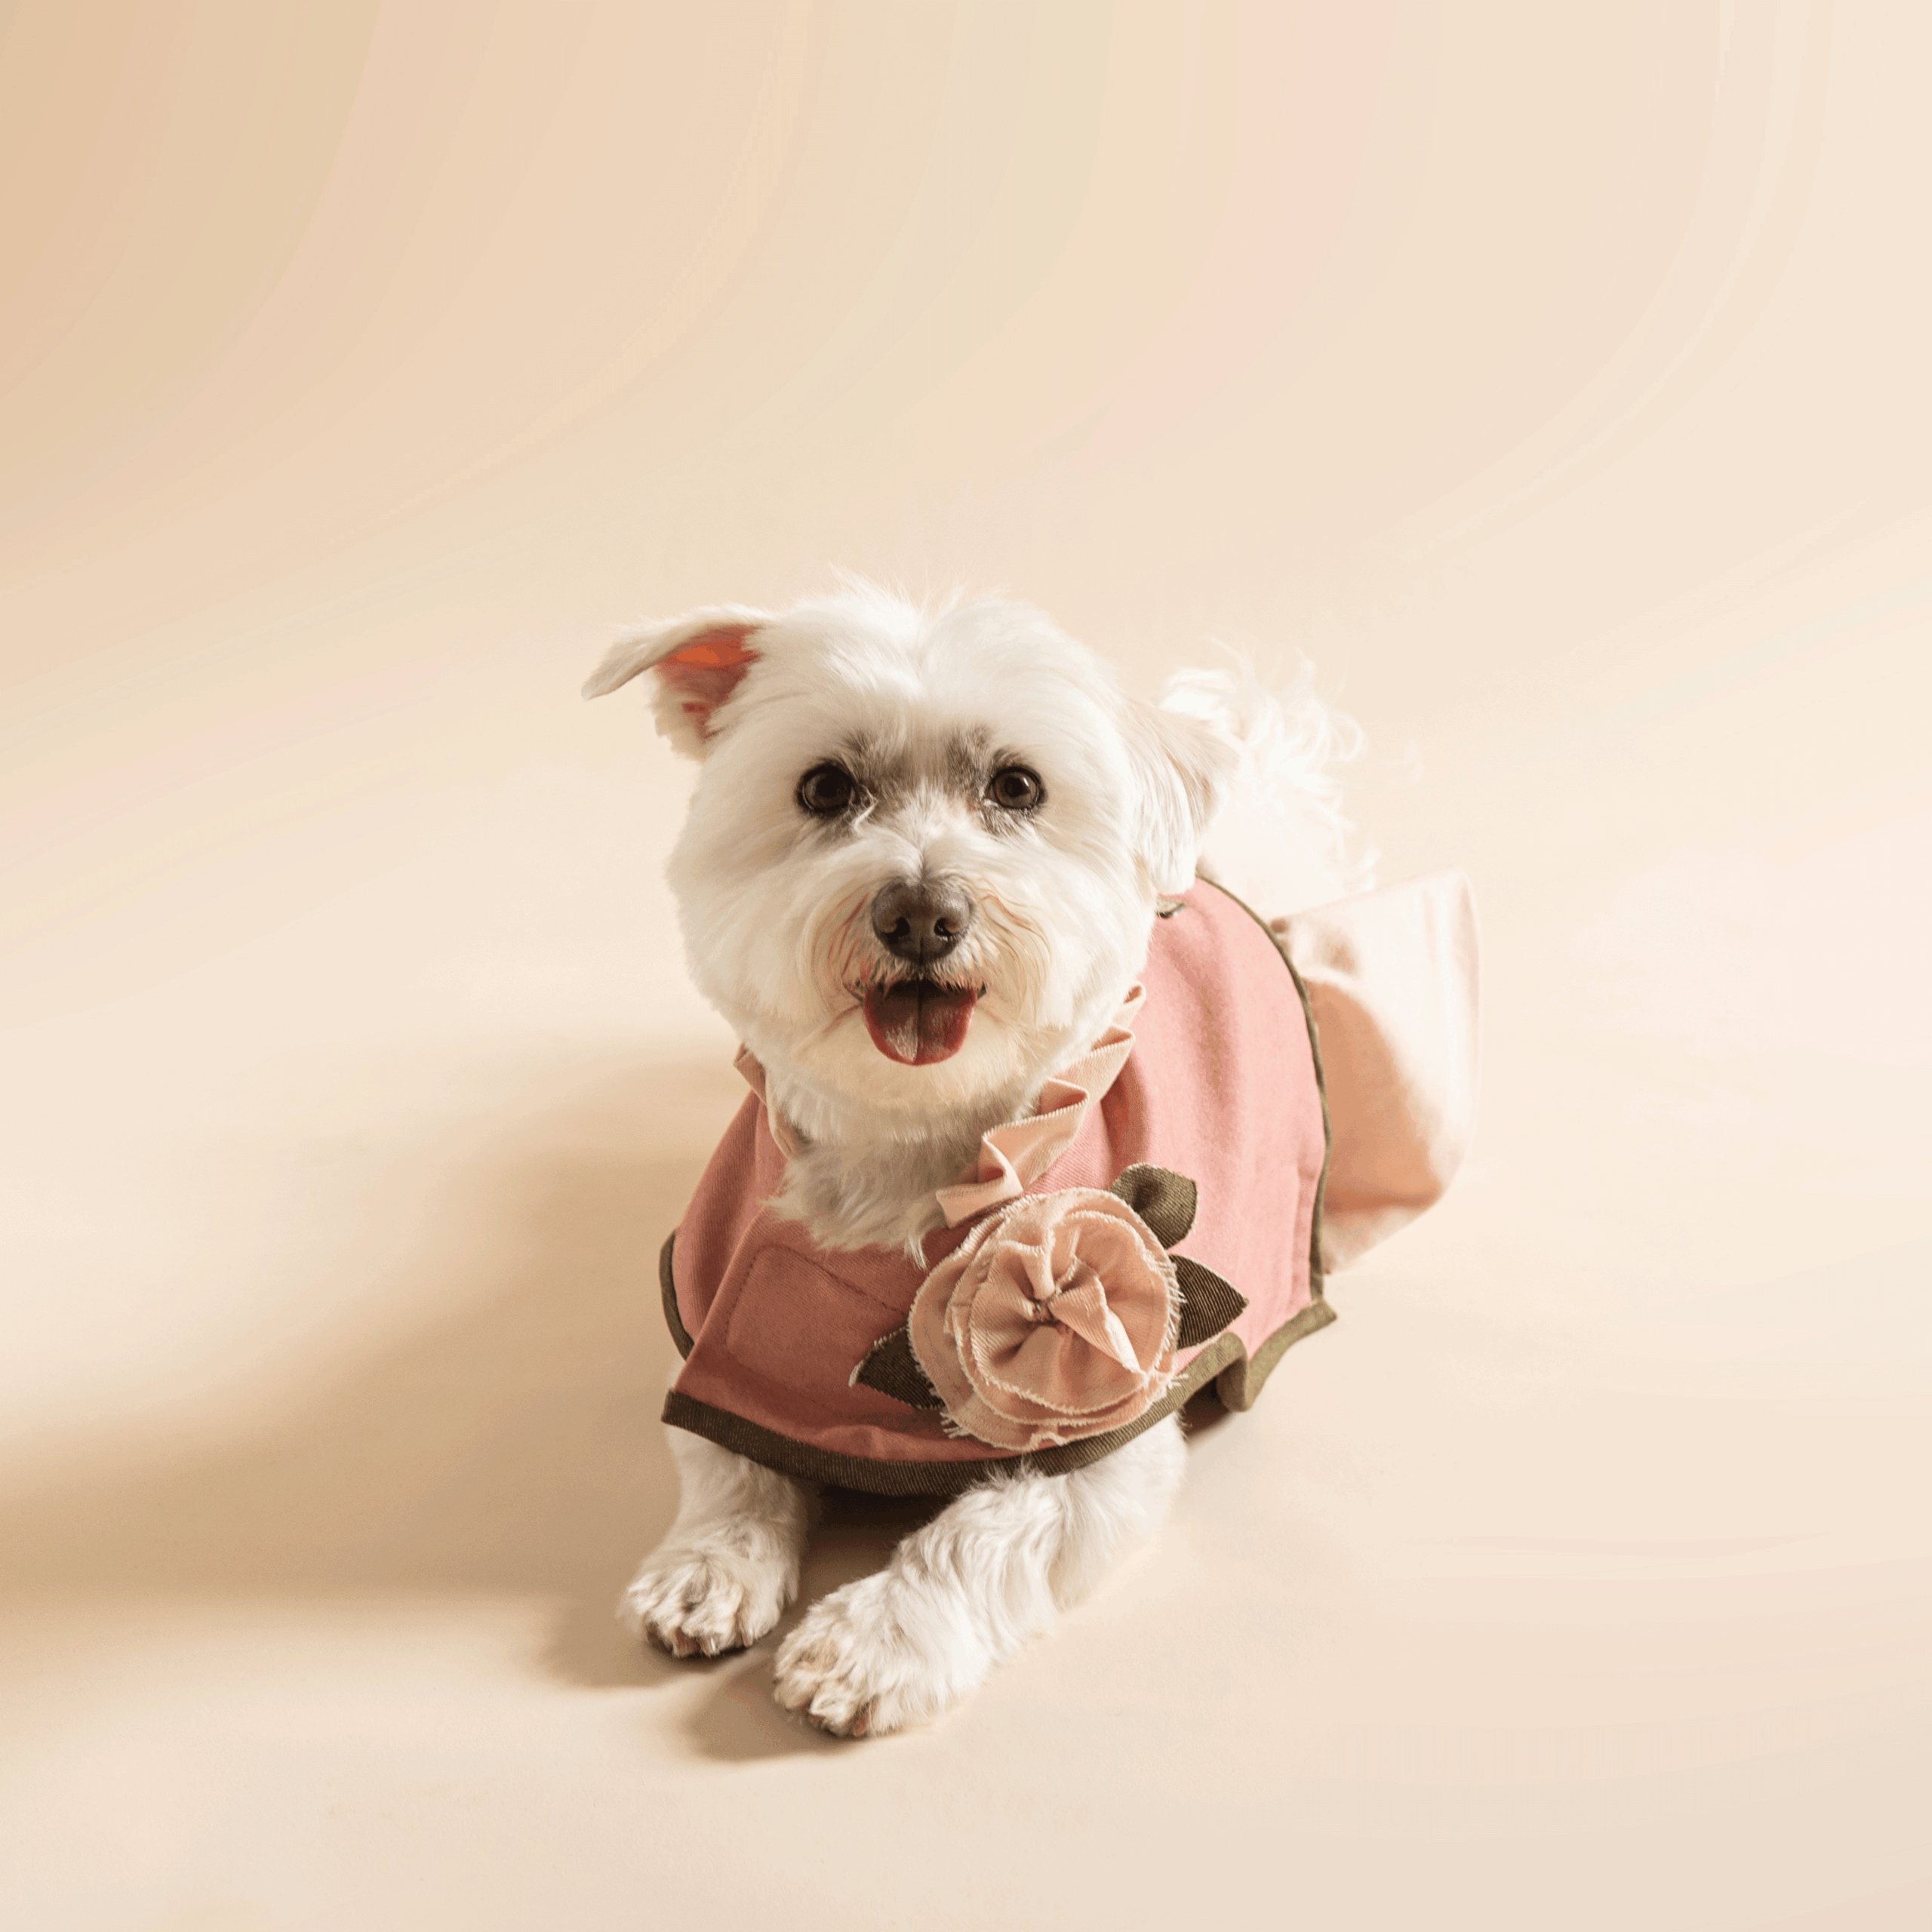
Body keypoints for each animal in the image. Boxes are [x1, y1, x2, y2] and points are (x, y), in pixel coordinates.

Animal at [584, 584, 1395, 1736]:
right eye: (824, 788)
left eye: (1016, 787)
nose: (921, 910)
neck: (917, 1151)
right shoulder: (723, 1326)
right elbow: (728, 1459)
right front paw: (707, 1566)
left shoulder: (1109, 1435)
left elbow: (983, 1535)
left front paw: (874, 1638)